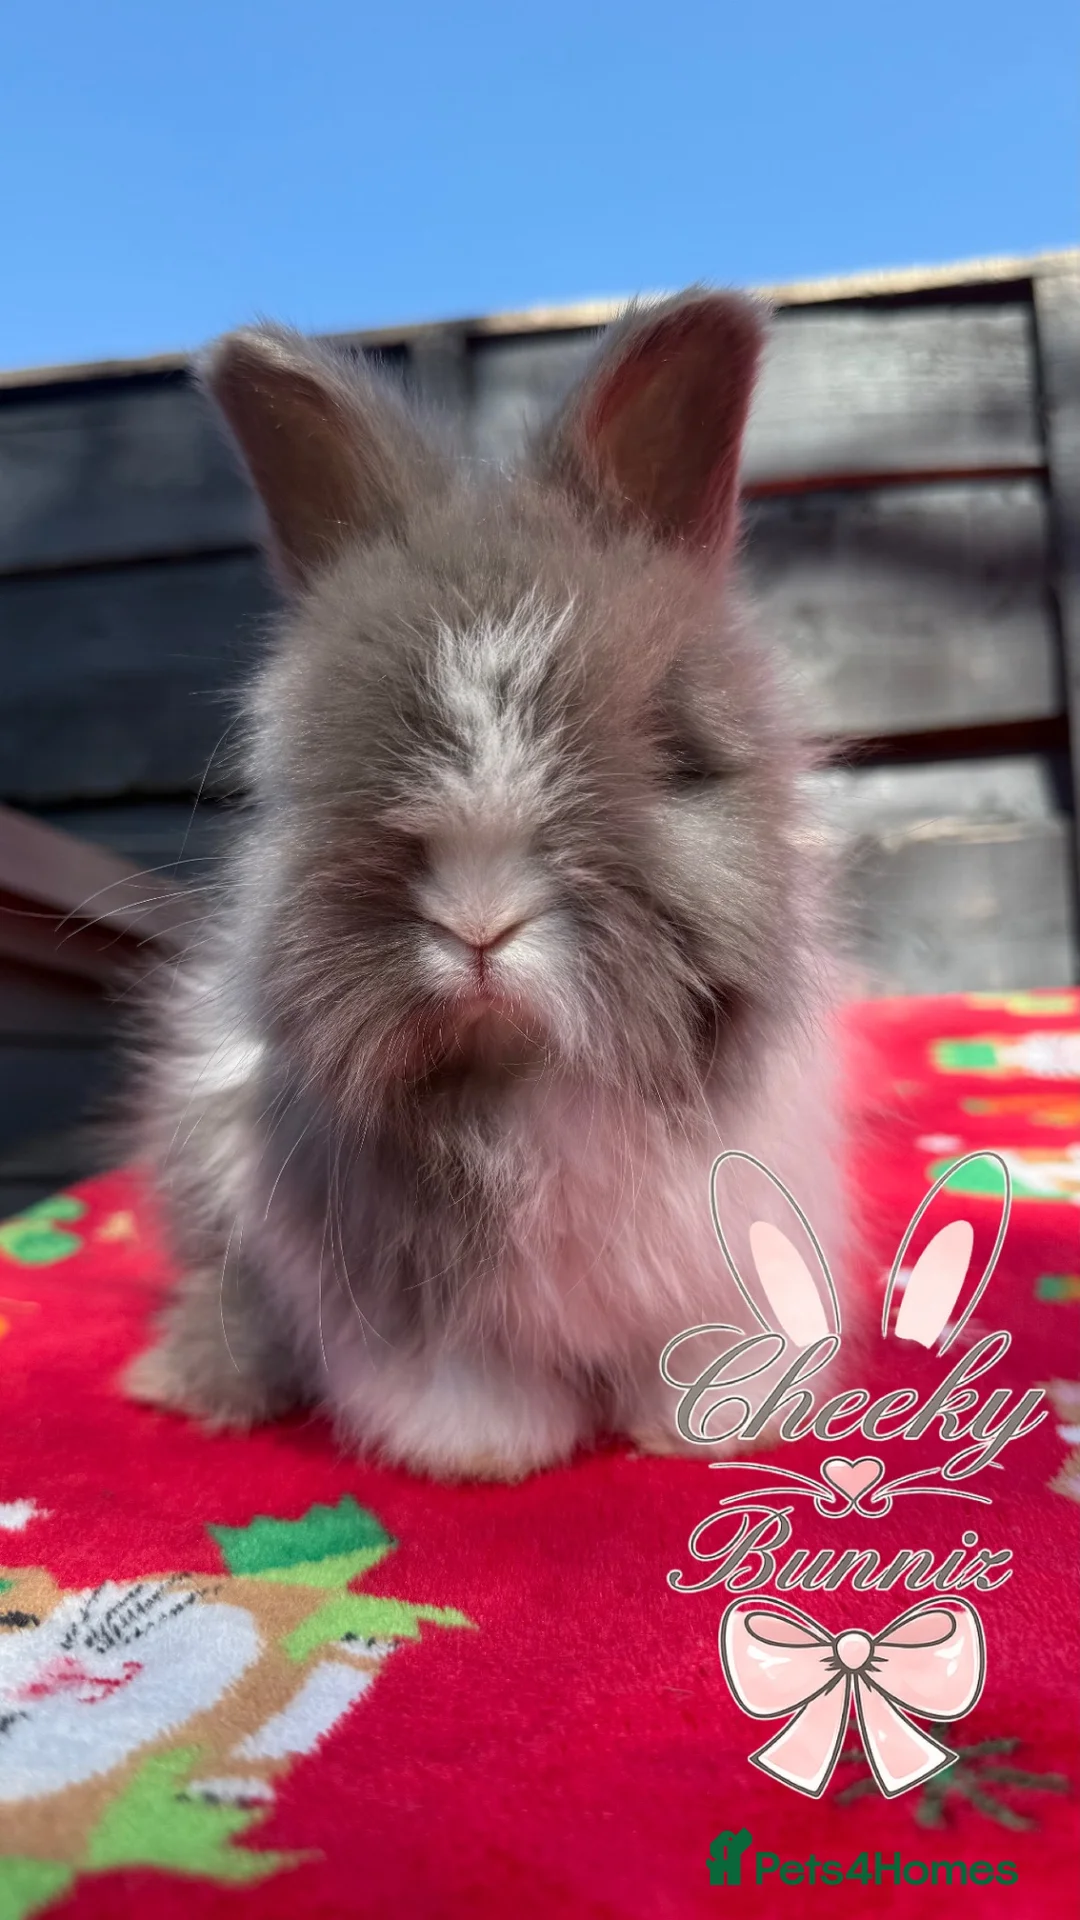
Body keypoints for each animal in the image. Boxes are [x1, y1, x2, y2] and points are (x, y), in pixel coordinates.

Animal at [122, 288, 852, 1481]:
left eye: (677, 759)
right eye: (311, 774)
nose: (478, 922)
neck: (521, 1086)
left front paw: (708, 1428)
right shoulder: (396, 1281)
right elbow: (459, 1376)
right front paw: (483, 1453)